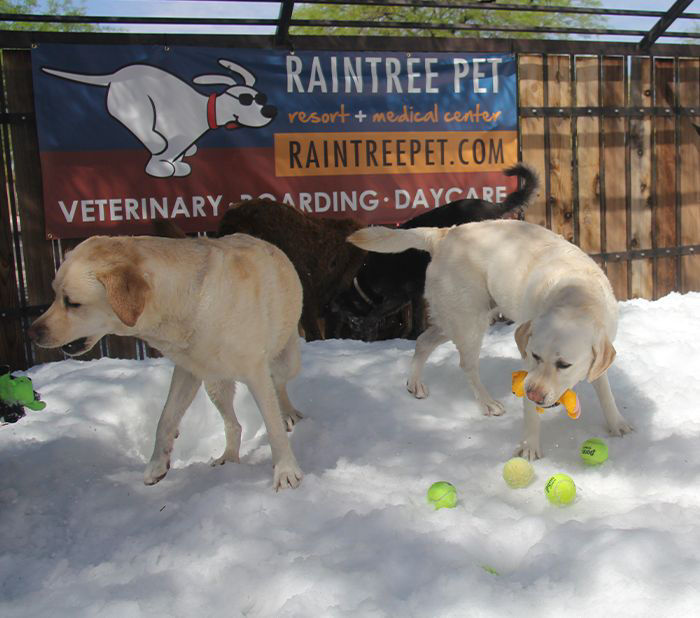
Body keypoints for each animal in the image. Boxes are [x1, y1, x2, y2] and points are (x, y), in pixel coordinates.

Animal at [40, 58, 276, 177]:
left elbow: (179, 156)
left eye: (261, 98)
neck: (204, 110)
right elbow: (163, 159)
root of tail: (117, 73)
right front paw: (162, 167)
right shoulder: (176, 138)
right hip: (133, 105)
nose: (270, 111)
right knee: (141, 126)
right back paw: (155, 143)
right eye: (245, 99)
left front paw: (180, 165)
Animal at [326, 161, 536, 340]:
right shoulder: (412, 294)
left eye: (349, 320)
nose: (352, 338)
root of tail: (494, 206)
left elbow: (383, 314)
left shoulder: (402, 295)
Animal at [350, 219, 636, 454]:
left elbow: (605, 390)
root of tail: (445, 234)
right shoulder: (527, 363)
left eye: (564, 365)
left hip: (460, 317)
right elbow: (530, 413)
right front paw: (529, 447)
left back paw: (415, 384)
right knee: (466, 364)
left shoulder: (600, 352)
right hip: (469, 320)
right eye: (535, 356)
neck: (577, 295)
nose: (533, 394)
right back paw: (487, 403)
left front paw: (618, 425)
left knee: (423, 341)